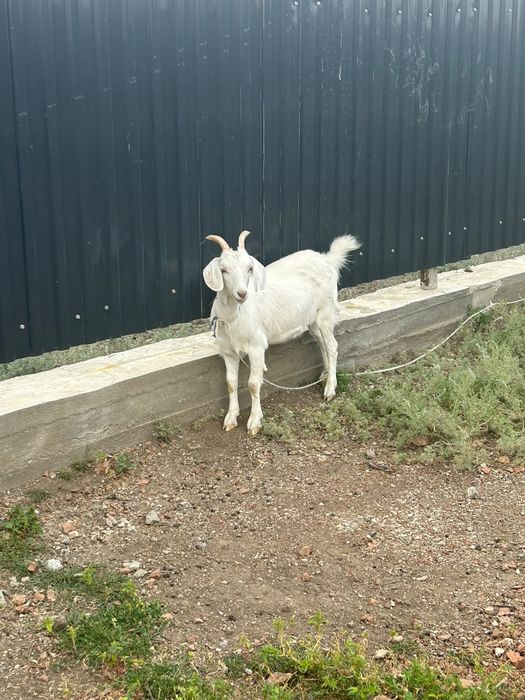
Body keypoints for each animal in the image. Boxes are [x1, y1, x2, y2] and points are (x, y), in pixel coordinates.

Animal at [203, 231, 361, 435]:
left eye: (249, 268)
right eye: (223, 270)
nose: (242, 293)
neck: (234, 315)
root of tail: (327, 259)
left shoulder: (256, 347)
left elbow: (253, 384)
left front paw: (255, 422)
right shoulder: (228, 352)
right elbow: (230, 383)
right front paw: (231, 418)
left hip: (324, 312)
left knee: (332, 346)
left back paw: (330, 389)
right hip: (312, 320)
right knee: (322, 344)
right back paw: (325, 375)